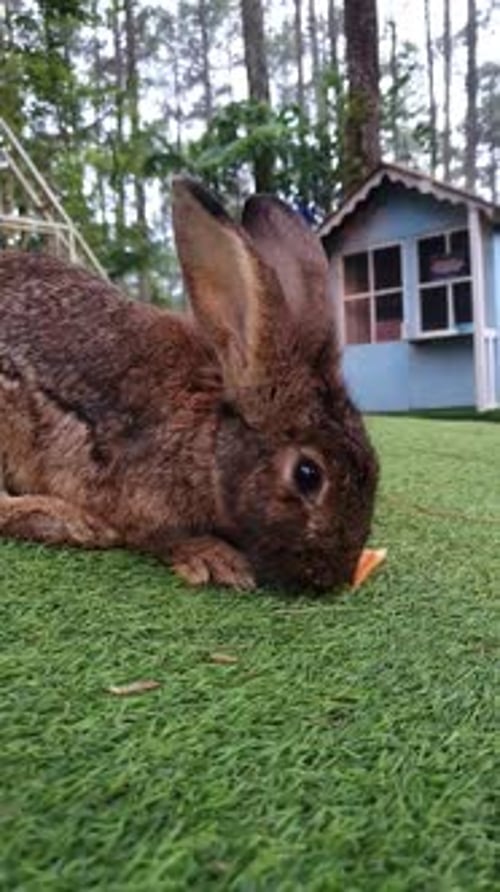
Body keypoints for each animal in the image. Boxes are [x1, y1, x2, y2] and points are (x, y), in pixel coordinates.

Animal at [0, 177, 378, 592]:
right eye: (308, 474)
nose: (337, 575)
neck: (210, 443)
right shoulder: (141, 498)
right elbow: (162, 535)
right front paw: (217, 560)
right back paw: (73, 522)